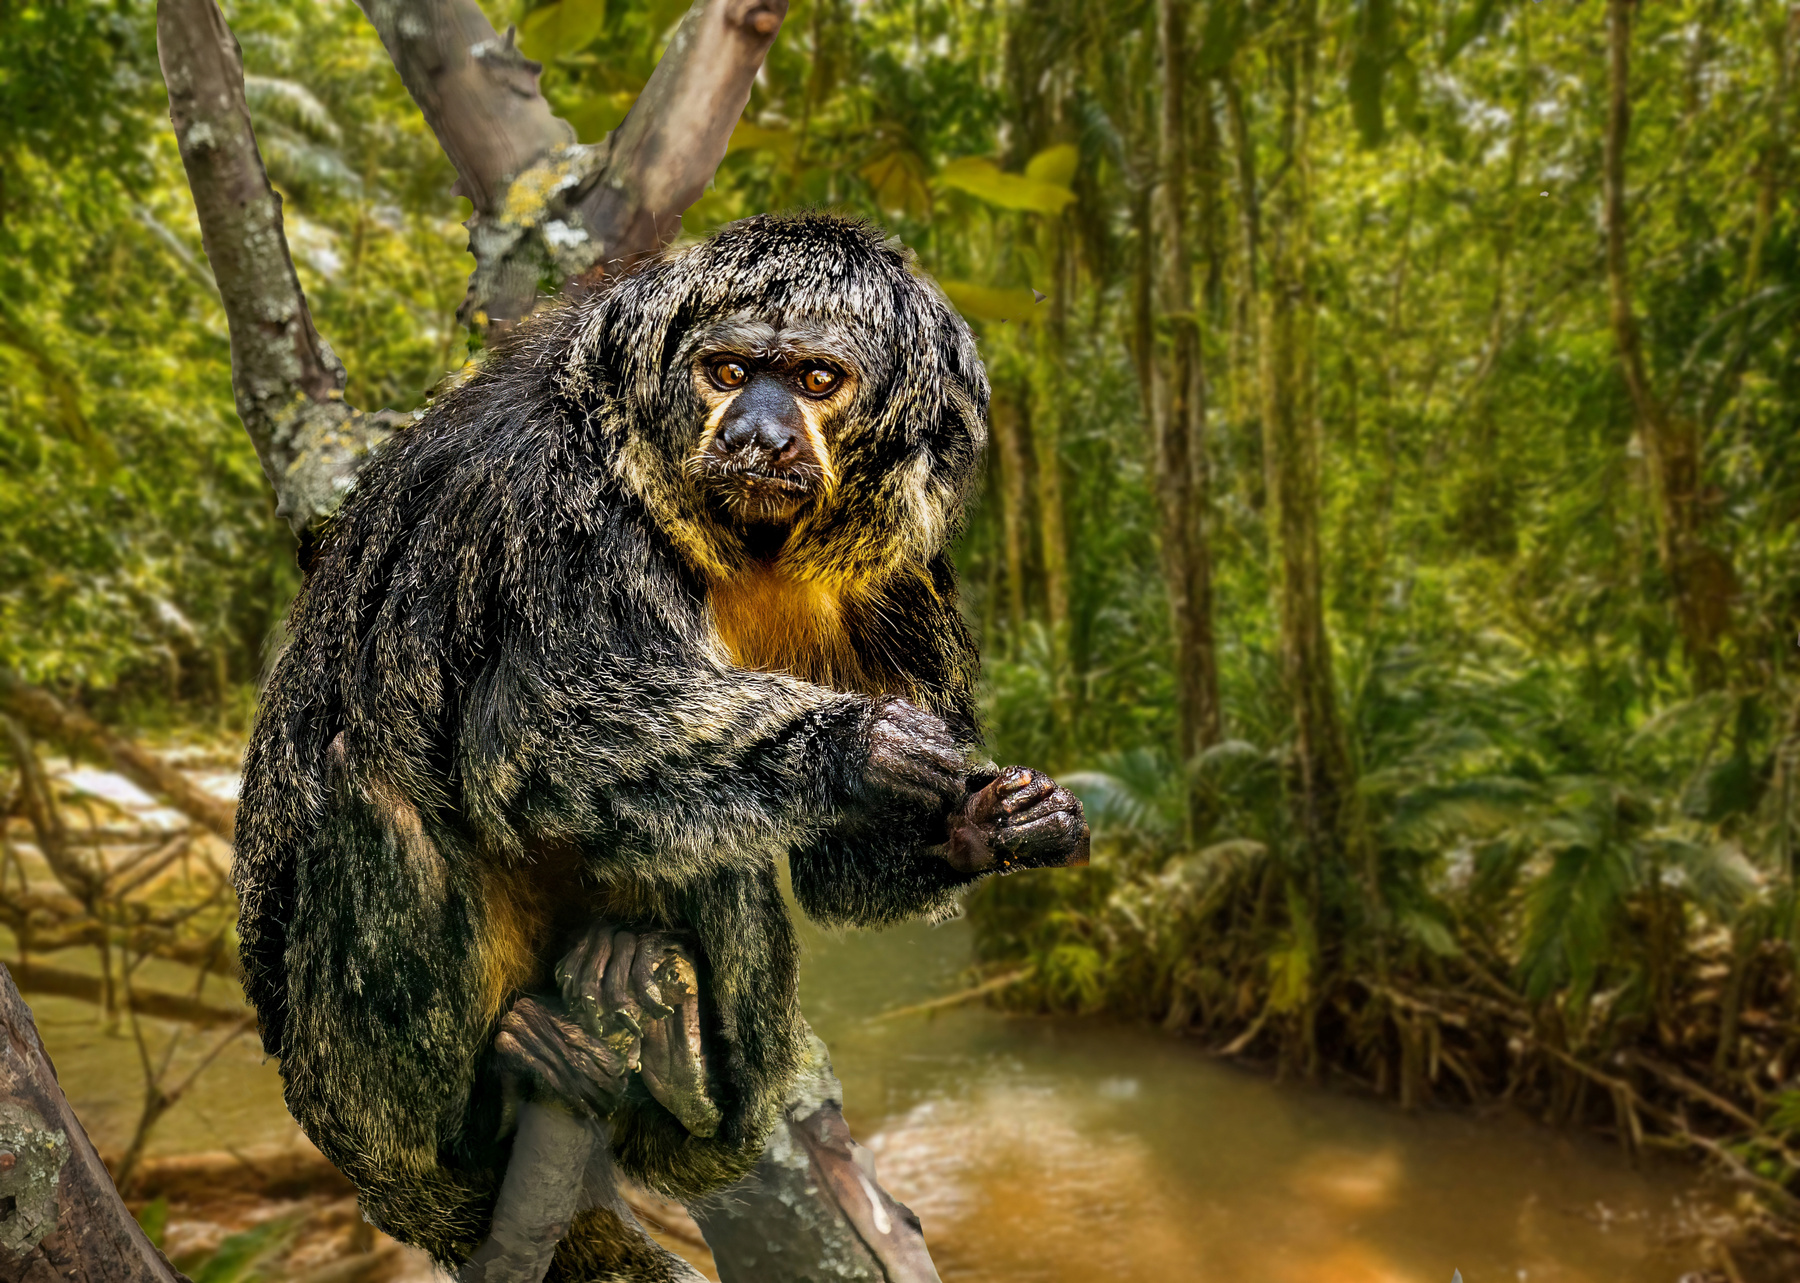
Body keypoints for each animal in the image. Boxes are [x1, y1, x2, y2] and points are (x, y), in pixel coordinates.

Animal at [231, 212, 1088, 1283]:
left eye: (816, 380)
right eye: (726, 371)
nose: (757, 434)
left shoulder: (901, 571)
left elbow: (839, 873)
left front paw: (994, 821)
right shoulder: (556, 495)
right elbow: (537, 735)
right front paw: (862, 748)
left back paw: (680, 1067)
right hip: (351, 1095)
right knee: (378, 788)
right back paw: (501, 1077)